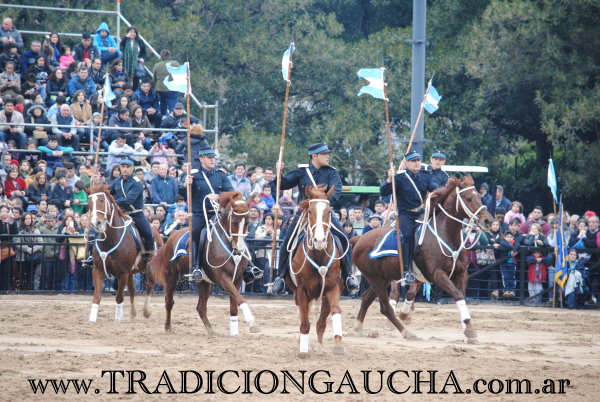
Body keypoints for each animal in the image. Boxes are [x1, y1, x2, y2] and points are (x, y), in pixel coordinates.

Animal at [85, 186, 163, 324]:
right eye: (89, 203)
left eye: (102, 200)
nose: (97, 223)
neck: (110, 239)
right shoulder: (98, 270)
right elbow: (97, 296)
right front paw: (92, 318)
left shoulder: (123, 273)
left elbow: (119, 296)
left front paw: (118, 317)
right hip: (131, 273)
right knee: (132, 289)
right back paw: (133, 314)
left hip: (149, 269)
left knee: (150, 285)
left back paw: (146, 311)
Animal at [148, 190, 260, 334]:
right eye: (234, 222)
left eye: (247, 222)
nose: (239, 249)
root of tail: (172, 236)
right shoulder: (223, 278)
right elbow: (240, 298)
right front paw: (252, 322)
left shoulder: (238, 278)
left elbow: (234, 306)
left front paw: (234, 332)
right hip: (171, 278)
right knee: (169, 302)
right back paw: (168, 327)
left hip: (204, 283)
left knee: (200, 307)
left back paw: (211, 331)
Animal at [288, 185, 346, 358]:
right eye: (309, 212)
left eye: (329, 211)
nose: (319, 241)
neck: (319, 256)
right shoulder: (302, 290)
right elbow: (304, 322)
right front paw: (303, 350)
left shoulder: (332, 288)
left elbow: (333, 313)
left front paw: (337, 344)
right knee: (302, 316)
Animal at [352, 176, 492, 342]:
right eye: (469, 198)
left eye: (480, 197)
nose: (488, 221)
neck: (445, 235)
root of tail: (359, 239)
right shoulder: (438, 275)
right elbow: (457, 295)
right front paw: (470, 330)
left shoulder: (461, 273)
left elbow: (461, 296)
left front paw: (467, 327)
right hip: (377, 280)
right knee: (385, 306)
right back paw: (407, 332)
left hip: (382, 279)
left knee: (367, 298)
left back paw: (359, 328)